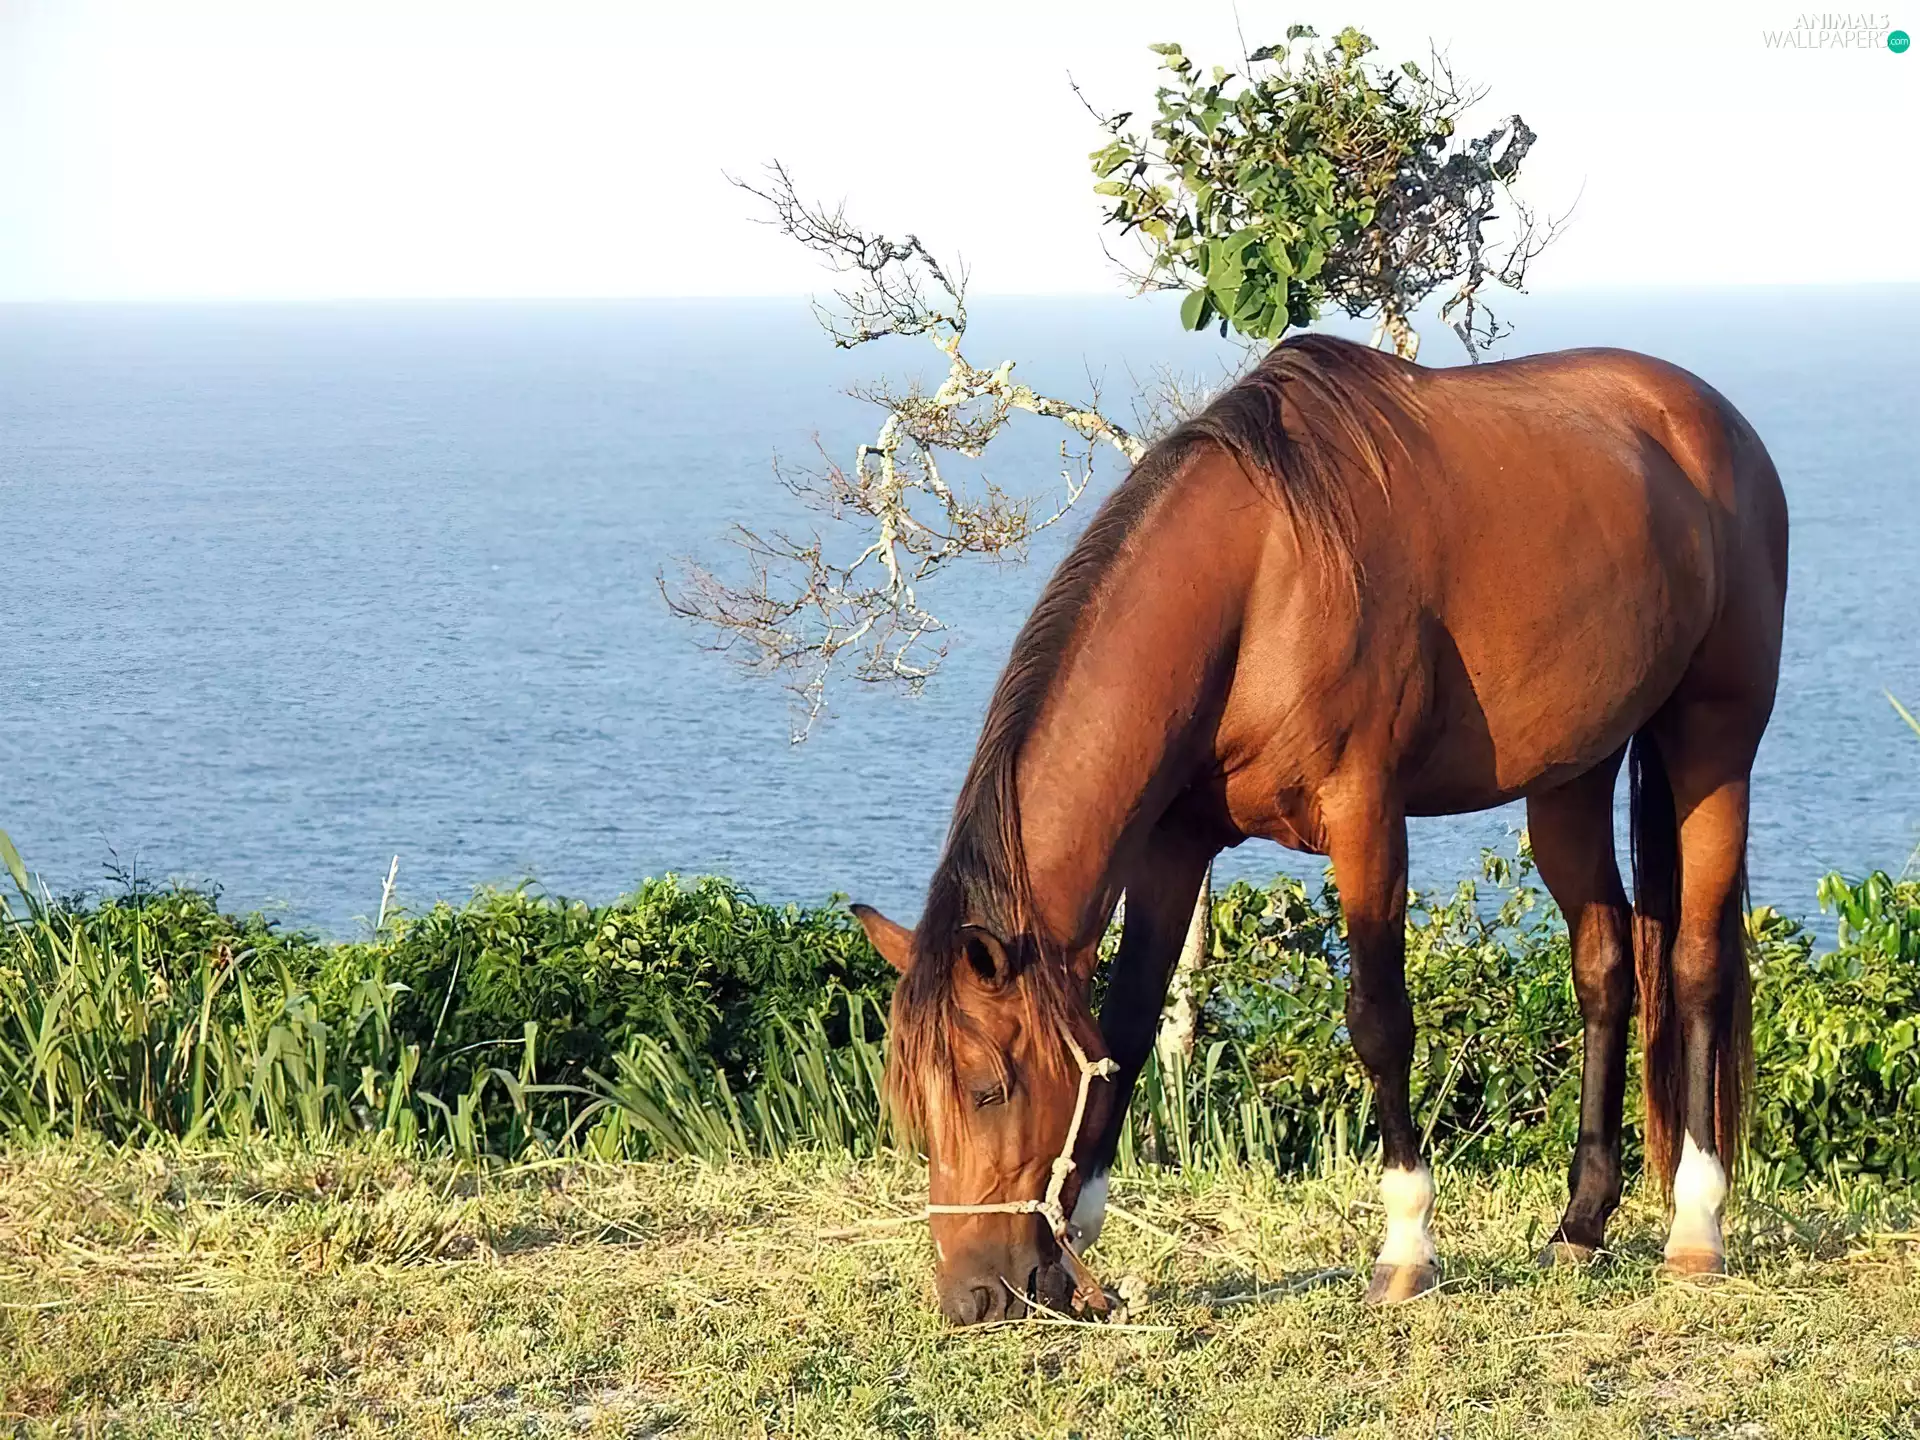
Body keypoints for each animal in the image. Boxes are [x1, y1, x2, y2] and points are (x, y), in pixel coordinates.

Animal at [851, 333, 1788, 1324]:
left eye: (989, 1088)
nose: (969, 1298)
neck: (1261, 582)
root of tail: (1709, 420)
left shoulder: (1365, 814)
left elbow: (1379, 1020)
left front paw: (1407, 1246)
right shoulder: (1174, 844)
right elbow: (1129, 1024)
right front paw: (1081, 1251)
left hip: (1715, 742)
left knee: (1696, 966)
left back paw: (1696, 1227)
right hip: (1571, 773)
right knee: (1606, 968)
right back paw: (1580, 1224)